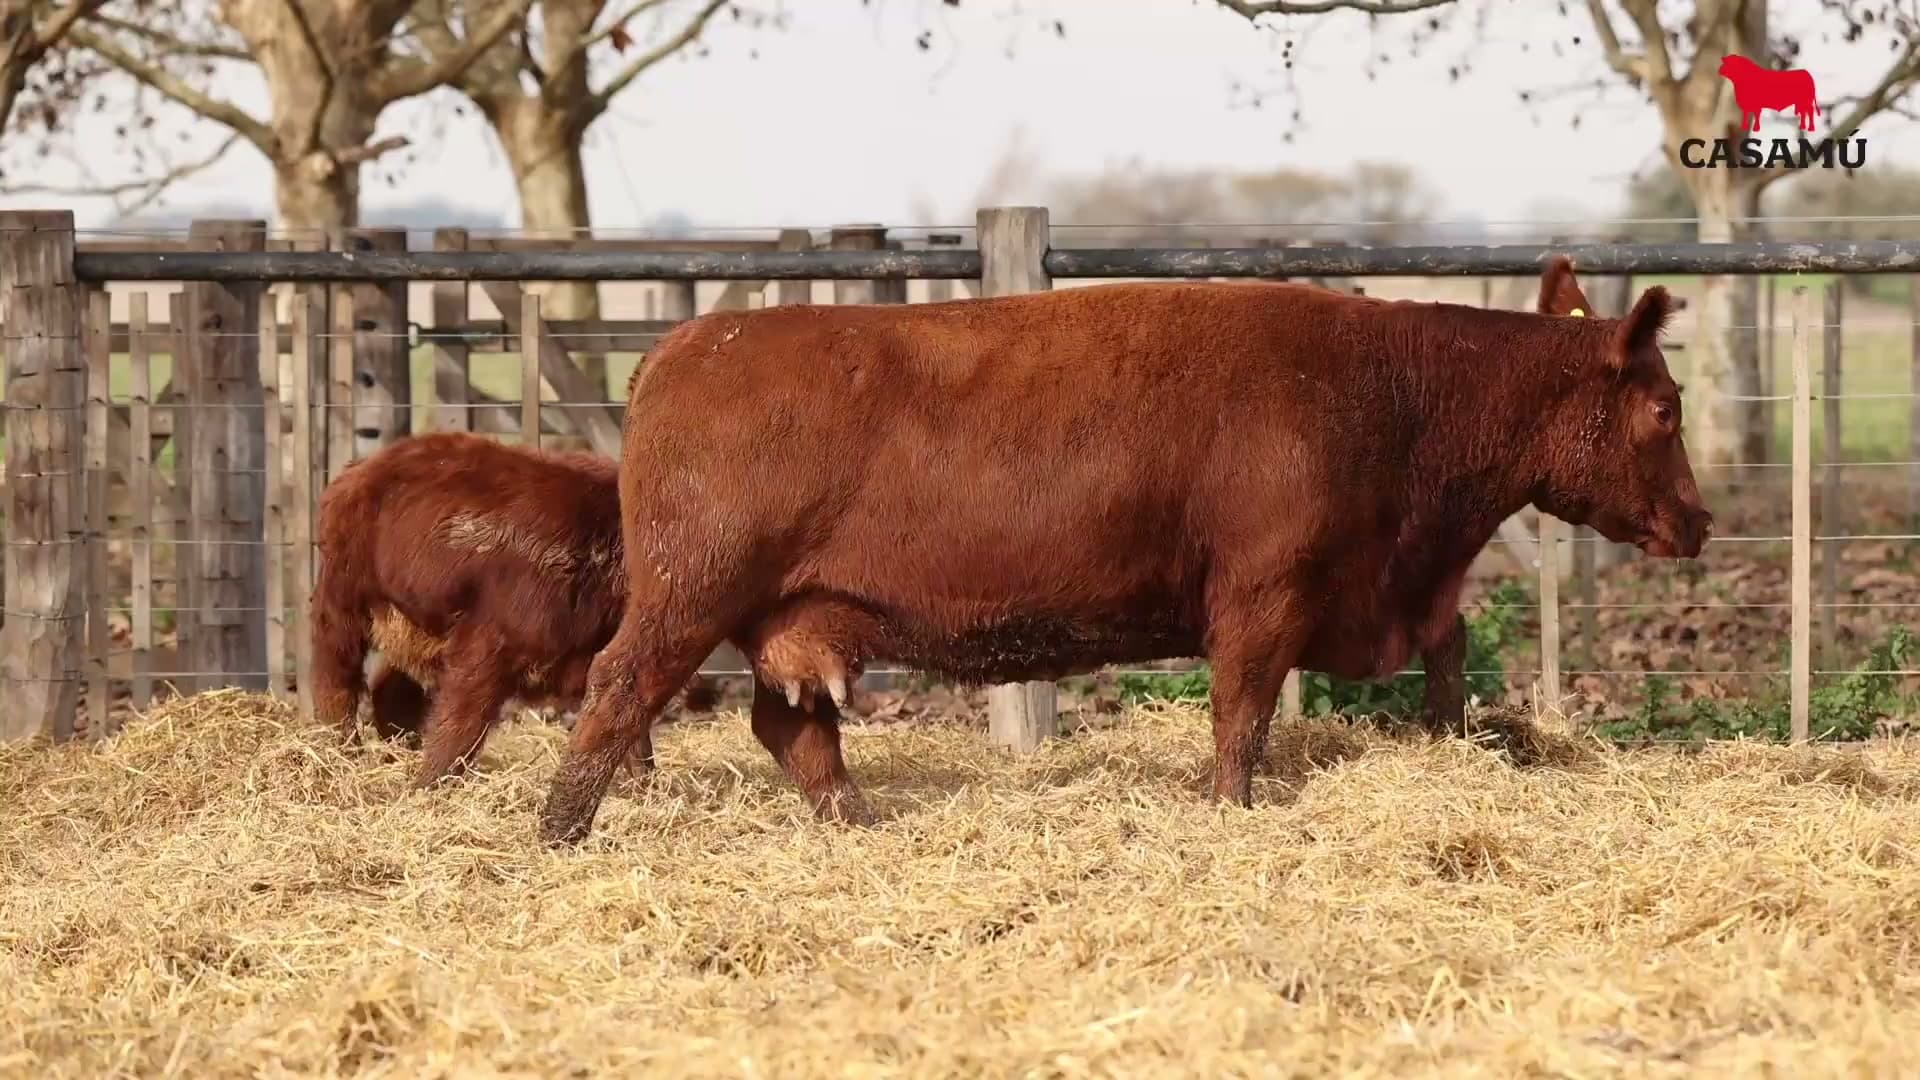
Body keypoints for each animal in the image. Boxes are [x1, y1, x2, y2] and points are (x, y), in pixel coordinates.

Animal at [532, 256, 1712, 846]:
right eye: (1665, 406)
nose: (1698, 522)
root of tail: (682, 348)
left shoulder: (1388, 591)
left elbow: (1451, 649)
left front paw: (1453, 739)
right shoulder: (1265, 587)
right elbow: (1241, 711)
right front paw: (1230, 811)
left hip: (789, 613)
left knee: (790, 725)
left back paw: (859, 825)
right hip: (692, 591)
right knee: (618, 687)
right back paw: (558, 828)